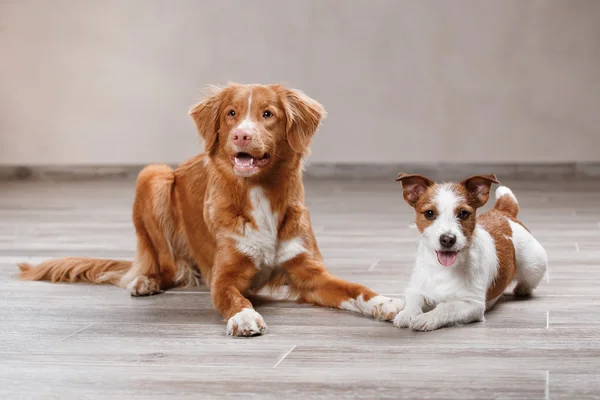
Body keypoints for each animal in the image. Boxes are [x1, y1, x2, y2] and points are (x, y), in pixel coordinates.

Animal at [18, 83, 404, 336]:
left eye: (268, 114)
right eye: (232, 114)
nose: (241, 136)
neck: (260, 193)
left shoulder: (310, 274)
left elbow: (355, 288)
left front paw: (386, 302)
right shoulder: (223, 277)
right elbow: (234, 298)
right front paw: (244, 317)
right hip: (153, 175)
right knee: (166, 268)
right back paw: (146, 281)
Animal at [394, 173, 548, 332]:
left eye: (463, 213)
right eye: (429, 213)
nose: (447, 239)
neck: (443, 269)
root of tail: (503, 213)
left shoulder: (473, 305)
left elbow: (447, 307)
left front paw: (427, 318)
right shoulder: (416, 288)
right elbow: (414, 299)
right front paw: (406, 314)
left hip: (534, 267)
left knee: (529, 281)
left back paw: (522, 288)